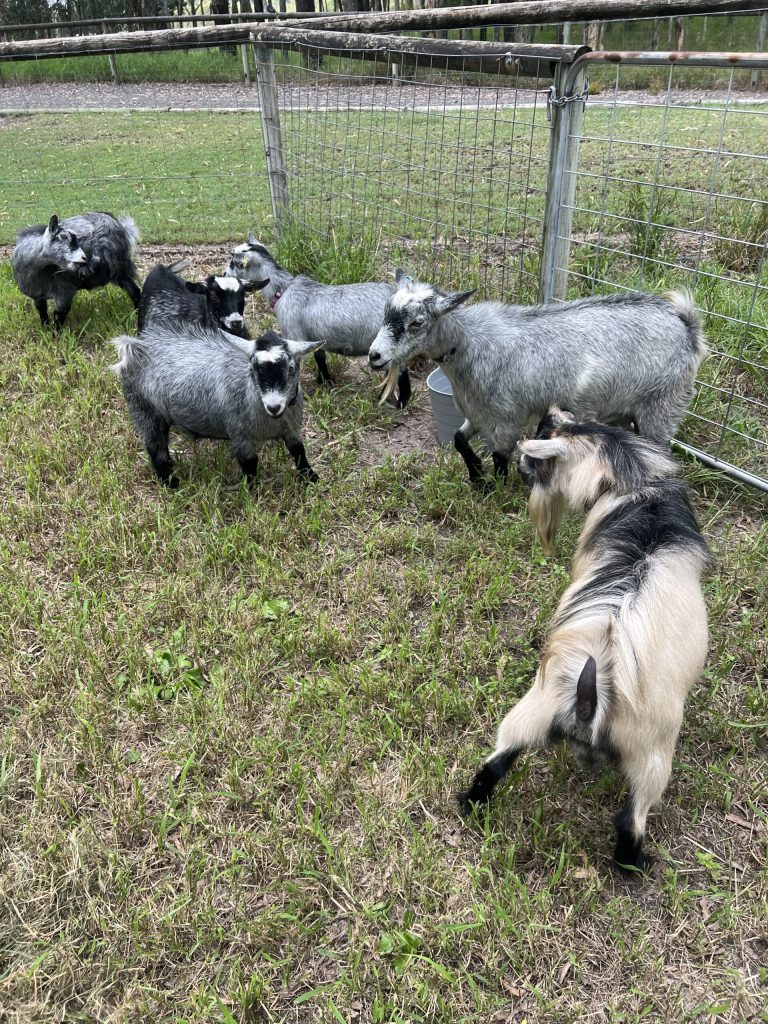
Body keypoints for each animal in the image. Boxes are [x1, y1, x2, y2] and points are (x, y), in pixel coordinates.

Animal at [12, 212, 141, 329]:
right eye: (63, 237)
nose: (84, 258)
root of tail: (123, 228)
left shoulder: (64, 292)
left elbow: (58, 315)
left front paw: (56, 337)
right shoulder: (38, 297)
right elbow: (42, 312)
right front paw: (45, 330)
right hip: (119, 274)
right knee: (134, 290)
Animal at [110, 324, 322, 488]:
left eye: (291, 368)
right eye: (252, 369)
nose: (274, 406)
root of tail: (137, 347)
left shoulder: (291, 429)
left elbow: (299, 451)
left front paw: (311, 478)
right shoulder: (240, 435)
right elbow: (250, 464)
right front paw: (253, 491)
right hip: (145, 411)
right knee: (156, 450)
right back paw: (171, 484)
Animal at [226, 234, 412, 408]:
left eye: (234, 263)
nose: (224, 274)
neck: (282, 290)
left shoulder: (293, 335)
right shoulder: (314, 337)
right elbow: (319, 357)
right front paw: (325, 380)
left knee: (400, 371)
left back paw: (401, 402)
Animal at [368, 272, 707, 487]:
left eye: (417, 322)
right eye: (385, 313)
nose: (374, 356)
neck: (469, 343)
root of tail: (685, 324)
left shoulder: (506, 417)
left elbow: (500, 456)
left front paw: (496, 490)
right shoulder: (477, 412)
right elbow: (459, 441)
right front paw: (476, 477)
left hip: (662, 405)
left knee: (659, 451)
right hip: (625, 409)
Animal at [458, 410, 711, 871]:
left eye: (540, 444)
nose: (519, 467)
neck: (637, 486)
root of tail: (590, 698)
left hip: (531, 711)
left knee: (495, 762)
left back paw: (470, 803)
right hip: (652, 758)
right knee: (631, 819)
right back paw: (637, 864)